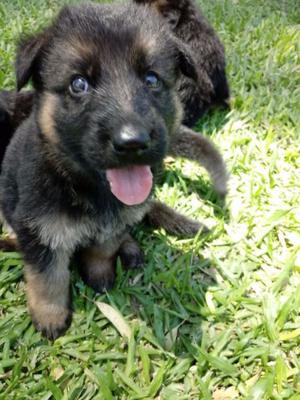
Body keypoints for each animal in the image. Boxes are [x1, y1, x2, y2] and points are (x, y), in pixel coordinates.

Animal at [0, 1, 213, 340]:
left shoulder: (115, 221)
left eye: (152, 80)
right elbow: (48, 279)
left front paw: (99, 275)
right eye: (78, 84)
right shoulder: (40, 232)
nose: (132, 142)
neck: (89, 188)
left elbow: (103, 249)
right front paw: (50, 316)